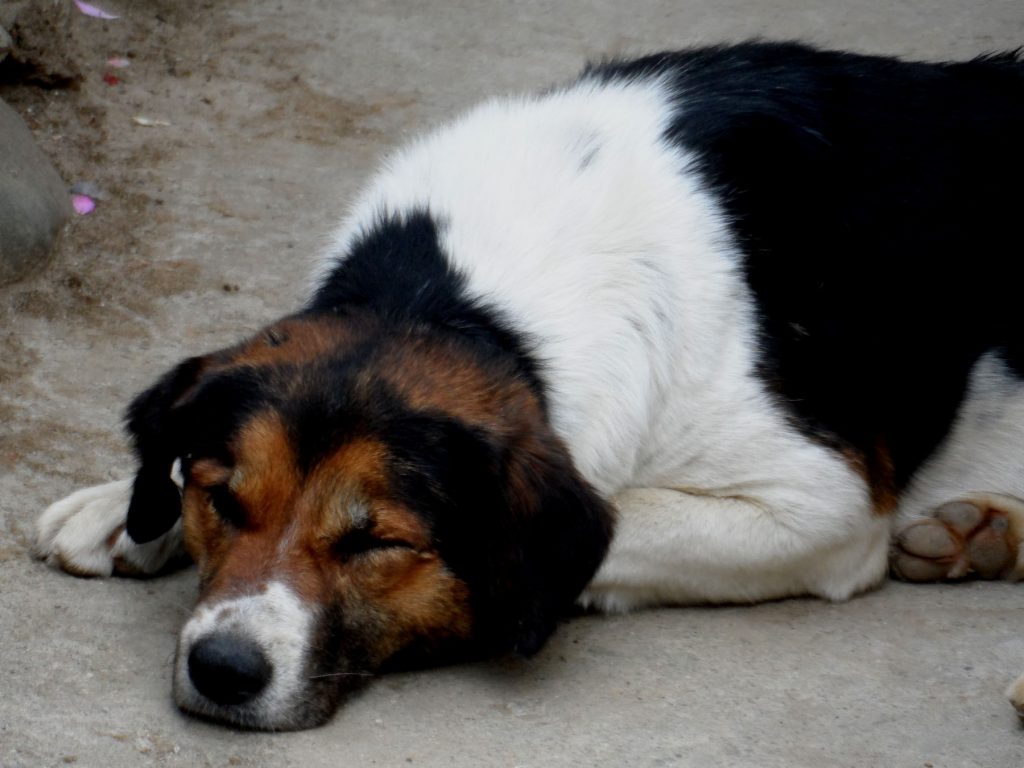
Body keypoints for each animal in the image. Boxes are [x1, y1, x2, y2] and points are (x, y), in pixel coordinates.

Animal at [36, 43, 1024, 733]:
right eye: (224, 500)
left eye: (374, 542)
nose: (224, 670)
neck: (453, 300)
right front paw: (124, 508)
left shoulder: (824, 507)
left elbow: (606, 522)